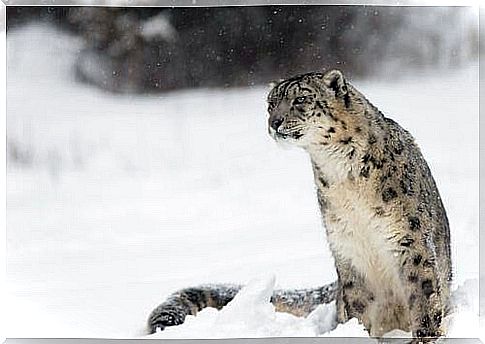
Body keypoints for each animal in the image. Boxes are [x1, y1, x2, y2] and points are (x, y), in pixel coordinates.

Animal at [146, 68, 452, 340]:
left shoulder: (408, 237)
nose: (274, 122)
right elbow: (359, 305)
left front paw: (425, 337)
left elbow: (423, 294)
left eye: (301, 99)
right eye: (270, 104)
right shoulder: (348, 247)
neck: (343, 175)